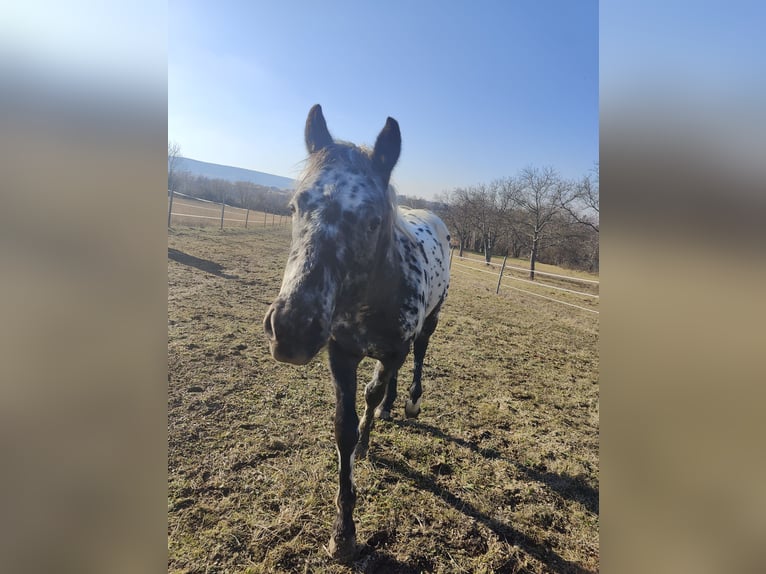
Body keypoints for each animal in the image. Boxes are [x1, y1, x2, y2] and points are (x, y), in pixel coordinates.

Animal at [266, 104, 450, 564]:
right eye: (294, 206)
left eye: (371, 220)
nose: (292, 328)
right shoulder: (341, 353)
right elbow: (344, 426)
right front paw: (343, 531)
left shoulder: (392, 350)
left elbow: (371, 391)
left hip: (429, 323)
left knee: (419, 354)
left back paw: (408, 403)